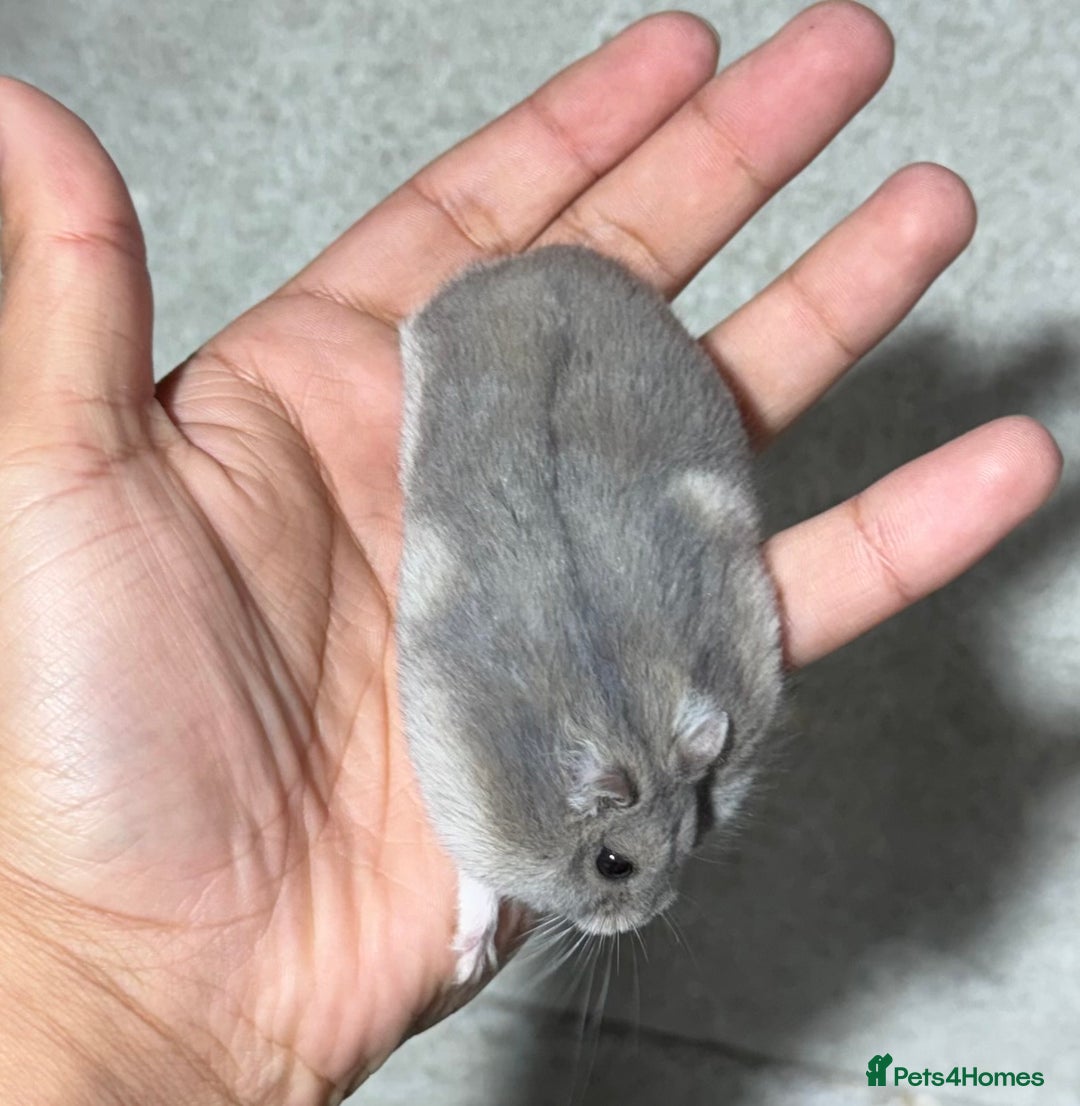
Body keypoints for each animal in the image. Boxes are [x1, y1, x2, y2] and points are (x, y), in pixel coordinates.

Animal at [396, 245, 782, 984]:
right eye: (613, 865)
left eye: (692, 830)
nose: (646, 919)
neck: (627, 727)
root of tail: (546, 259)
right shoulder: (466, 808)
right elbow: (479, 884)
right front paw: (468, 961)